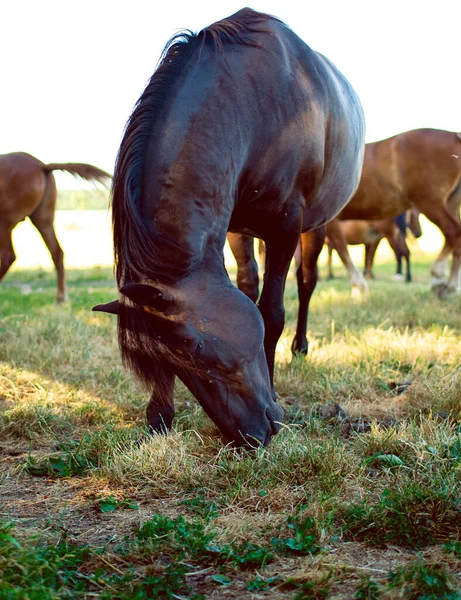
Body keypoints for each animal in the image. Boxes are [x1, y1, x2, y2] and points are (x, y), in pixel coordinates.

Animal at [0, 150, 111, 300]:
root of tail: (42, 166)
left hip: (5, 223)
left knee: (8, 256)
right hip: (44, 220)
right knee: (57, 252)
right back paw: (61, 298)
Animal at [93, 7, 364, 448]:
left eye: (195, 348)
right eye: (167, 358)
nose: (252, 435)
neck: (256, 100)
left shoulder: (286, 226)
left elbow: (271, 313)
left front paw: (277, 391)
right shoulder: (233, 225)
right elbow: (249, 294)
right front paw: (159, 417)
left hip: (318, 225)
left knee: (306, 281)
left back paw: (300, 347)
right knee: (252, 283)